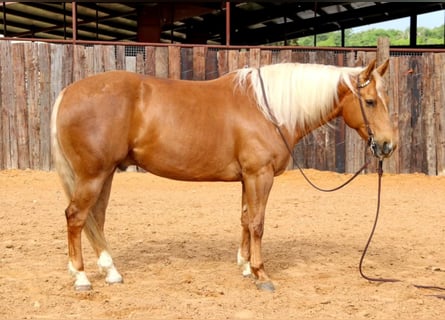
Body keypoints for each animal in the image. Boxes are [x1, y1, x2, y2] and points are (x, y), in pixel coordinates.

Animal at [51, 58, 396, 292]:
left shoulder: (248, 178)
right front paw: (261, 274)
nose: (388, 145)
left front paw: (244, 267)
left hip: (105, 174)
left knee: (96, 218)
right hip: (93, 175)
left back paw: (111, 272)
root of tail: (68, 92)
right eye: (370, 101)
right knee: (76, 217)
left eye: (385, 100)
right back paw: (81, 277)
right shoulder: (260, 175)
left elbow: (245, 219)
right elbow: (257, 224)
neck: (268, 110)